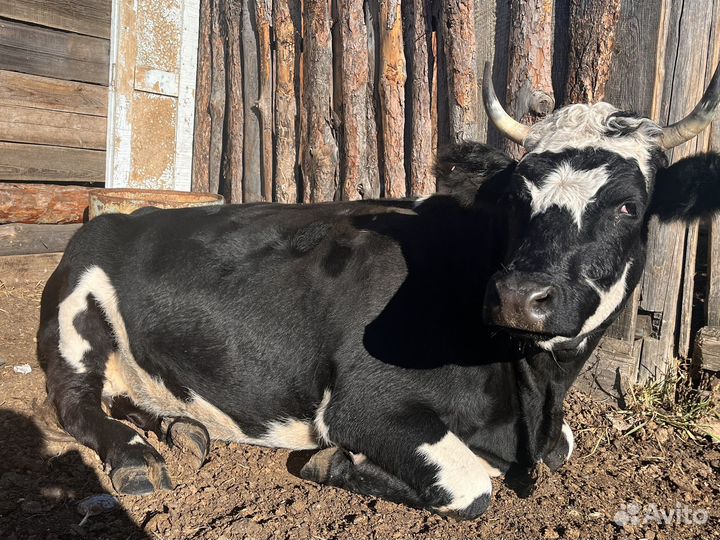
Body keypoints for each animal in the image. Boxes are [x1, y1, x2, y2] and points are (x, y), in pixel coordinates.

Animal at [38, 61, 720, 520]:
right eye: (517, 198)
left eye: (629, 205)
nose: (519, 296)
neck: (531, 395)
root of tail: (122, 216)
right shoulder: (363, 403)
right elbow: (472, 486)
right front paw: (331, 461)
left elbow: (565, 448)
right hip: (74, 318)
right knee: (75, 402)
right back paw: (136, 458)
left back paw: (181, 428)